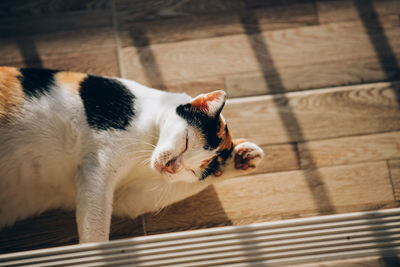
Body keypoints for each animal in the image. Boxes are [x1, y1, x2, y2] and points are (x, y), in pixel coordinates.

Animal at [0, 66, 266, 243]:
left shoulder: (127, 197)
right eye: (186, 142)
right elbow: (95, 229)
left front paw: (241, 157)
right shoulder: (97, 171)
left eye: (194, 170)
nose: (172, 167)